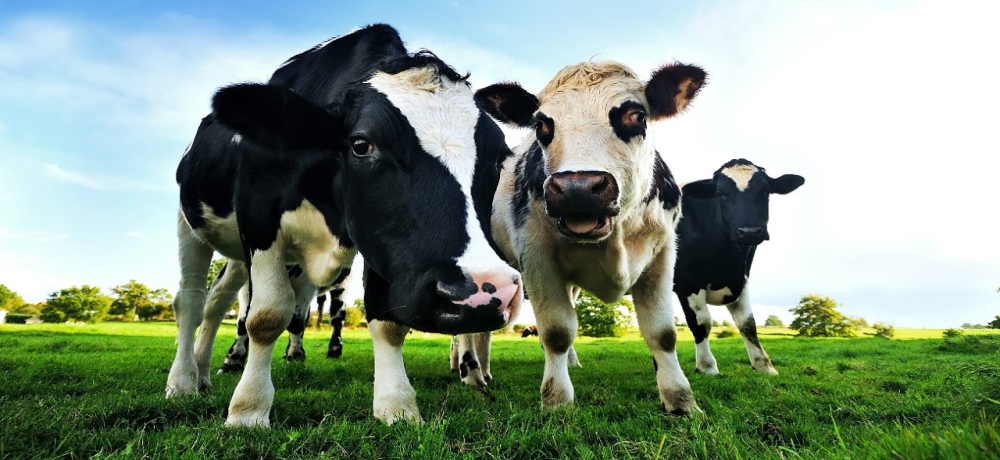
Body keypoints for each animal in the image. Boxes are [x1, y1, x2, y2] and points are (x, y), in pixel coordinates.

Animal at [167, 24, 523, 428]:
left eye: (499, 157)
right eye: (361, 145)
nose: (482, 292)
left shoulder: (382, 243)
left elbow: (385, 318)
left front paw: (397, 406)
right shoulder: (259, 216)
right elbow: (267, 314)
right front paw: (248, 410)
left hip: (239, 256)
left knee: (216, 301)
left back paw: (203, 370)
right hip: (189, 223)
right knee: (191, 300)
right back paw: (182, 380)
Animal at [474, 60, 709, 414]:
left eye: (636, 116)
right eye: (541, 125)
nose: (578, 188)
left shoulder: (663, 254)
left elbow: (662, 333)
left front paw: (681, 400)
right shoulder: (536, 257)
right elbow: (557, 332)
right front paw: (557, 401)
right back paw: (472, 373)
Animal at [673, 158, 804, 375]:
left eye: (765, 191)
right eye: (720, 194)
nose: (749, 231)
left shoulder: (740, 280)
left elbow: (748, 323)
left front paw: (764, 366)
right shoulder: (687, 283)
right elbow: (701, 322)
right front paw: (707, 366)